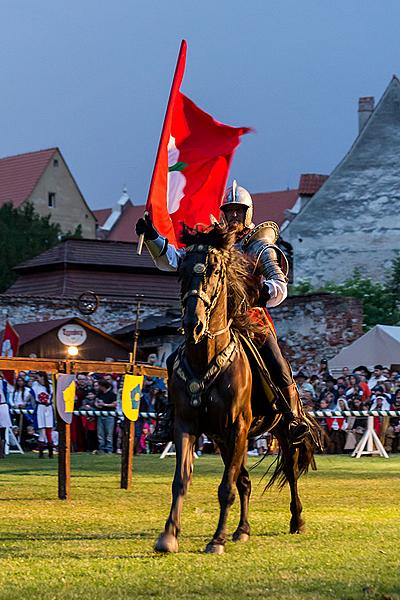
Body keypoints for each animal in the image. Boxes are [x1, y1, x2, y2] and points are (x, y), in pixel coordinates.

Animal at [155, 227, 320, 556]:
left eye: (216, 271)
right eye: (181, 272)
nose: (193, 324)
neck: (205, 357)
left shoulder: (237, 427)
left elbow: (225, 488)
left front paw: (216, 540)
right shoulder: (188, 426)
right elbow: (182, 480)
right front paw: (169, 535)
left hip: (279, 430)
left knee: (290, 471)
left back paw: (297, 520)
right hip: (224, 440)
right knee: (244, 481)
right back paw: (242, 529)